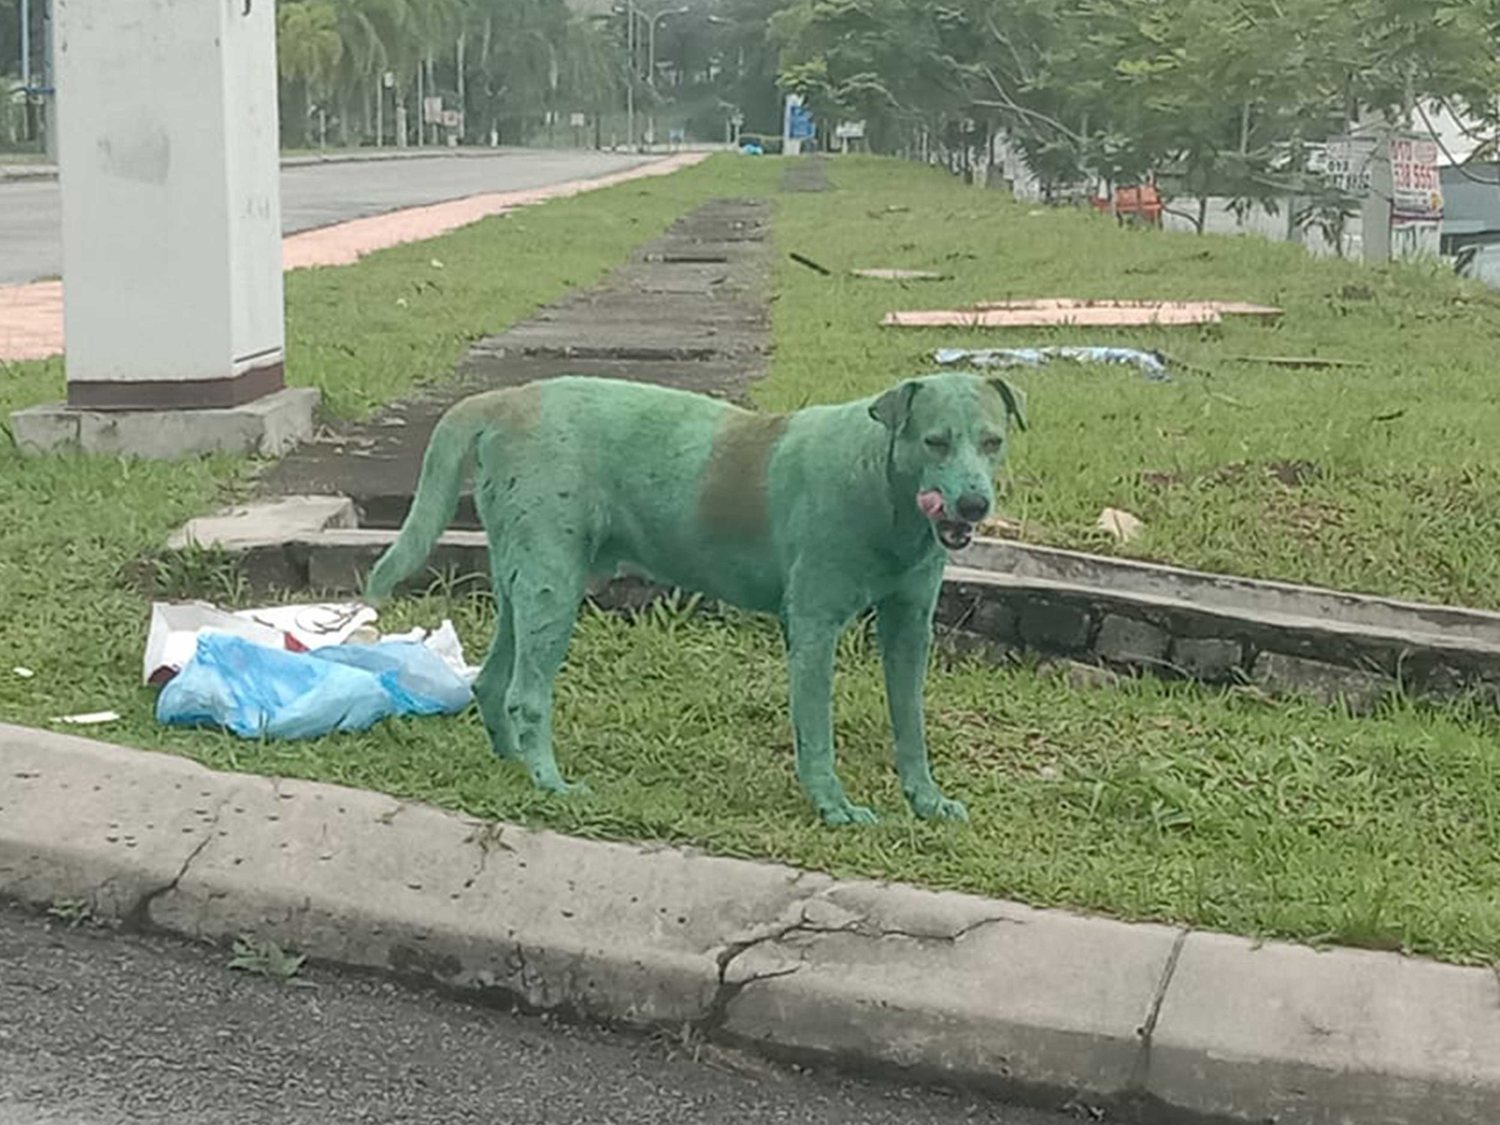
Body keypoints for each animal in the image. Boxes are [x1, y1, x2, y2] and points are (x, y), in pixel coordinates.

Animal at [366, 375, 1020, 822]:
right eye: (935, 442)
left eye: (992, 442)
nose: (973, 505)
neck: (884, 486)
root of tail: (506, 399)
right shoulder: (813, 628)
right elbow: (816, 731)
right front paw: (834, 807)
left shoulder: (911, 626)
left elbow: (910, 722)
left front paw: (927, 799)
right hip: (554, 584)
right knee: (527, 694)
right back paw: (552, 782)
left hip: (524, 582)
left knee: (492, 680)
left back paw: (514, 764)